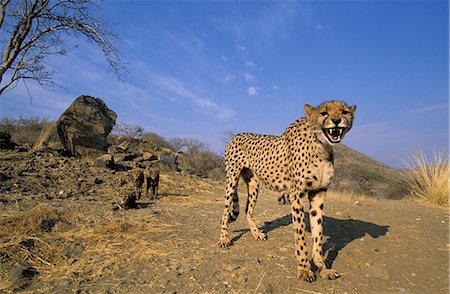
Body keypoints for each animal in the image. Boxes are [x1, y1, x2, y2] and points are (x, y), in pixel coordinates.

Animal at [220, 100, 356, 282]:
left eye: (344, 112)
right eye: (324, 113)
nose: (336, 121)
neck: (322, 145)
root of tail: (237, 135)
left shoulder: (319, 193)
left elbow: (318, 234)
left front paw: (322, 267)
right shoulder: (296, 195)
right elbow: (300, 236)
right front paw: (305, 270)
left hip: (254, 184)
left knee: (248, 210)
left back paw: (256, 234)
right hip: (232, 179)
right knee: (225, 211)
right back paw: (224, 239)